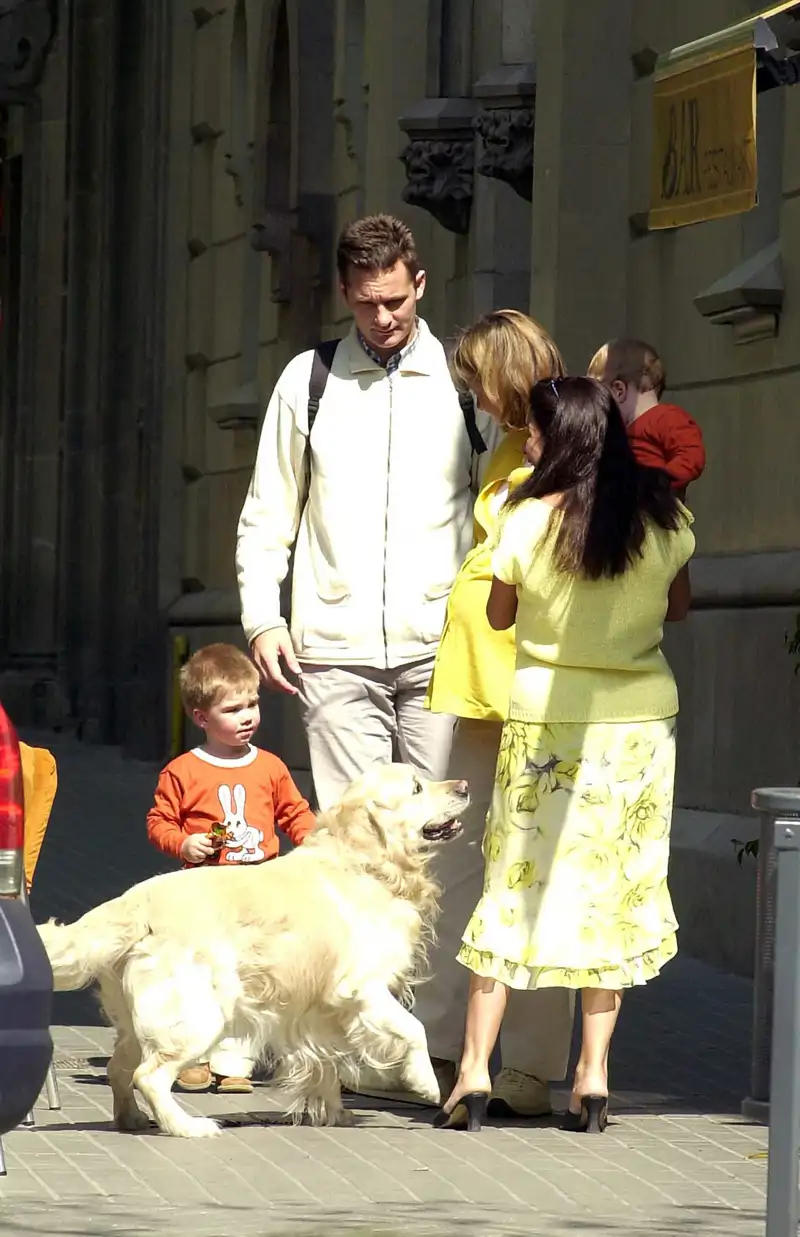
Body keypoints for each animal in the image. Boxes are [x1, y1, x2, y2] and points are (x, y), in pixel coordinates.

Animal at [39, 761, 469, 1138]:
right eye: (416, 788)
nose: (464, 786)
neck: (364, 864)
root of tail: (131, 902)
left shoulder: (321, 1007)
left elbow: (327, 1063)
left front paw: (332, 1111)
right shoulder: (361, 986)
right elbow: (415, 1029)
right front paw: (425, 1083)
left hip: (132, 1019)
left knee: (119, 1068)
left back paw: (132, 1119)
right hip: (200, 1015)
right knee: (150, 1075)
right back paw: (188, 1127)